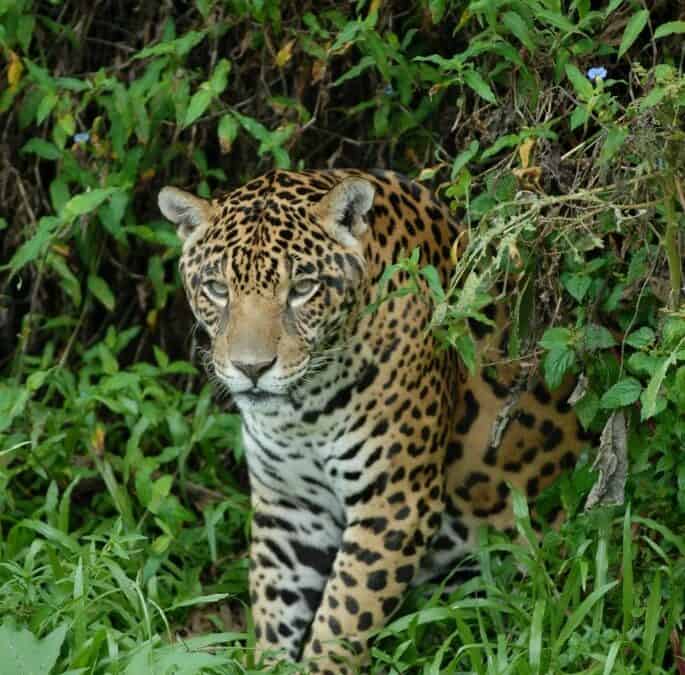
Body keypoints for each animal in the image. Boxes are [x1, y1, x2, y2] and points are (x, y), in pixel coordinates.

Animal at [158, 169, 592, 674]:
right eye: (216, 288)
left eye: (302, 289)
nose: (252, 368)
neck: (302, 410)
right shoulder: (291, 505)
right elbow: (276, 604)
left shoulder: (396, 501)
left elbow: (344, 613)